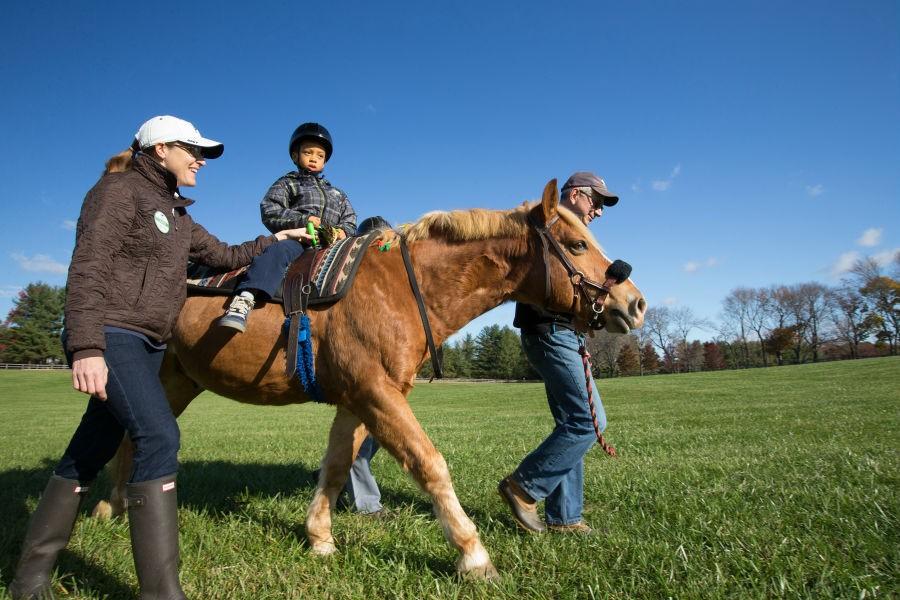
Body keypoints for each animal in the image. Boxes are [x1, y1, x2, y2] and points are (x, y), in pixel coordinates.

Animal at [95, 180, 648, 580]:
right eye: (577, 243)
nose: (636, 304)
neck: (401, 287)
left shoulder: (356, 399)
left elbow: (337, 465)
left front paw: (320, 538)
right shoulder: (375, 394)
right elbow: (430, 464)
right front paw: (473, 555)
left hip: (178, 381)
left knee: (129, 439)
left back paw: (114, 506)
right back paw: (107, 507)